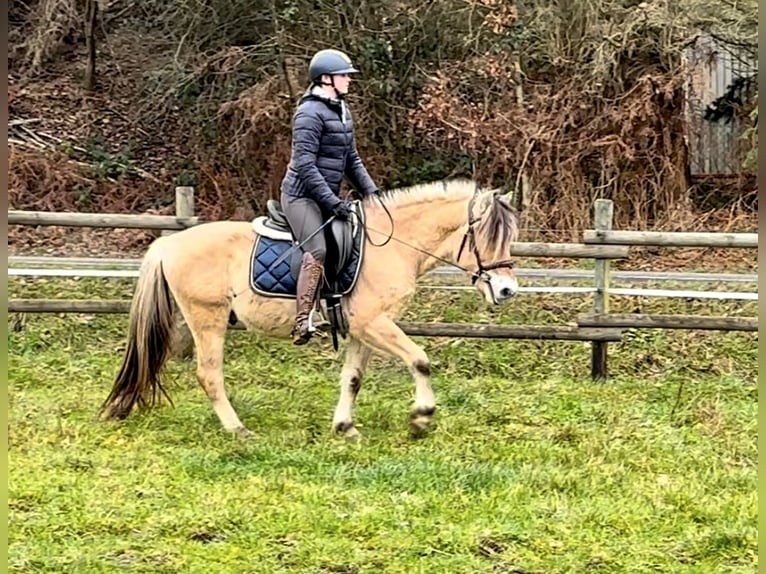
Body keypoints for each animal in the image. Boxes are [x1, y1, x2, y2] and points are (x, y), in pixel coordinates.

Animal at [99, 180, 520, 440]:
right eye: (487, 237)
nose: (507, 290)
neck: (391, 244)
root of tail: (169, 244)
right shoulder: (375, 323)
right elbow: (420, 360)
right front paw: (421, 418)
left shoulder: (362, 329)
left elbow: (352, 379)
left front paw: (345, 427)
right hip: (208, 318)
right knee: (209, 374)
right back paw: (238, 430)